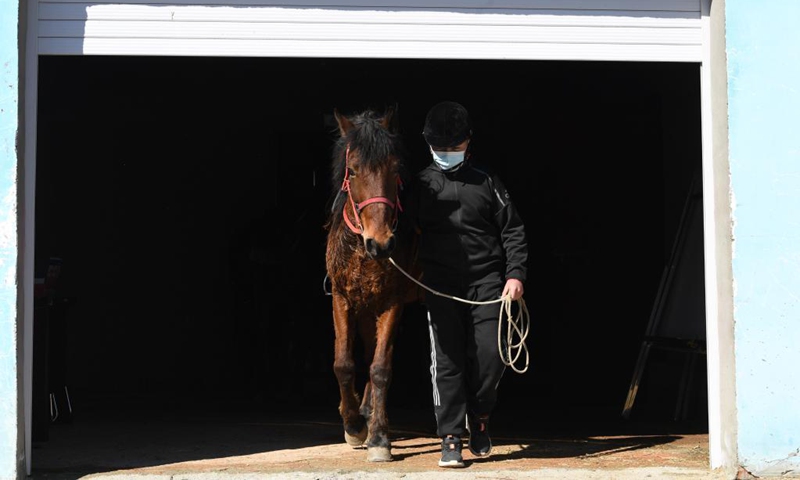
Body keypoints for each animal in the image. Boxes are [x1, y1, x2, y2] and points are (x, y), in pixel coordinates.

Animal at [325, 107, 416, 462]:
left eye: (396, 169)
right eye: (352, 170)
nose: (381, 243)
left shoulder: (391, 301)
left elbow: (380, 368)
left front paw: (378, 438)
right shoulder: (342, 297)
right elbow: (344, 363)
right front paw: (353, 425)